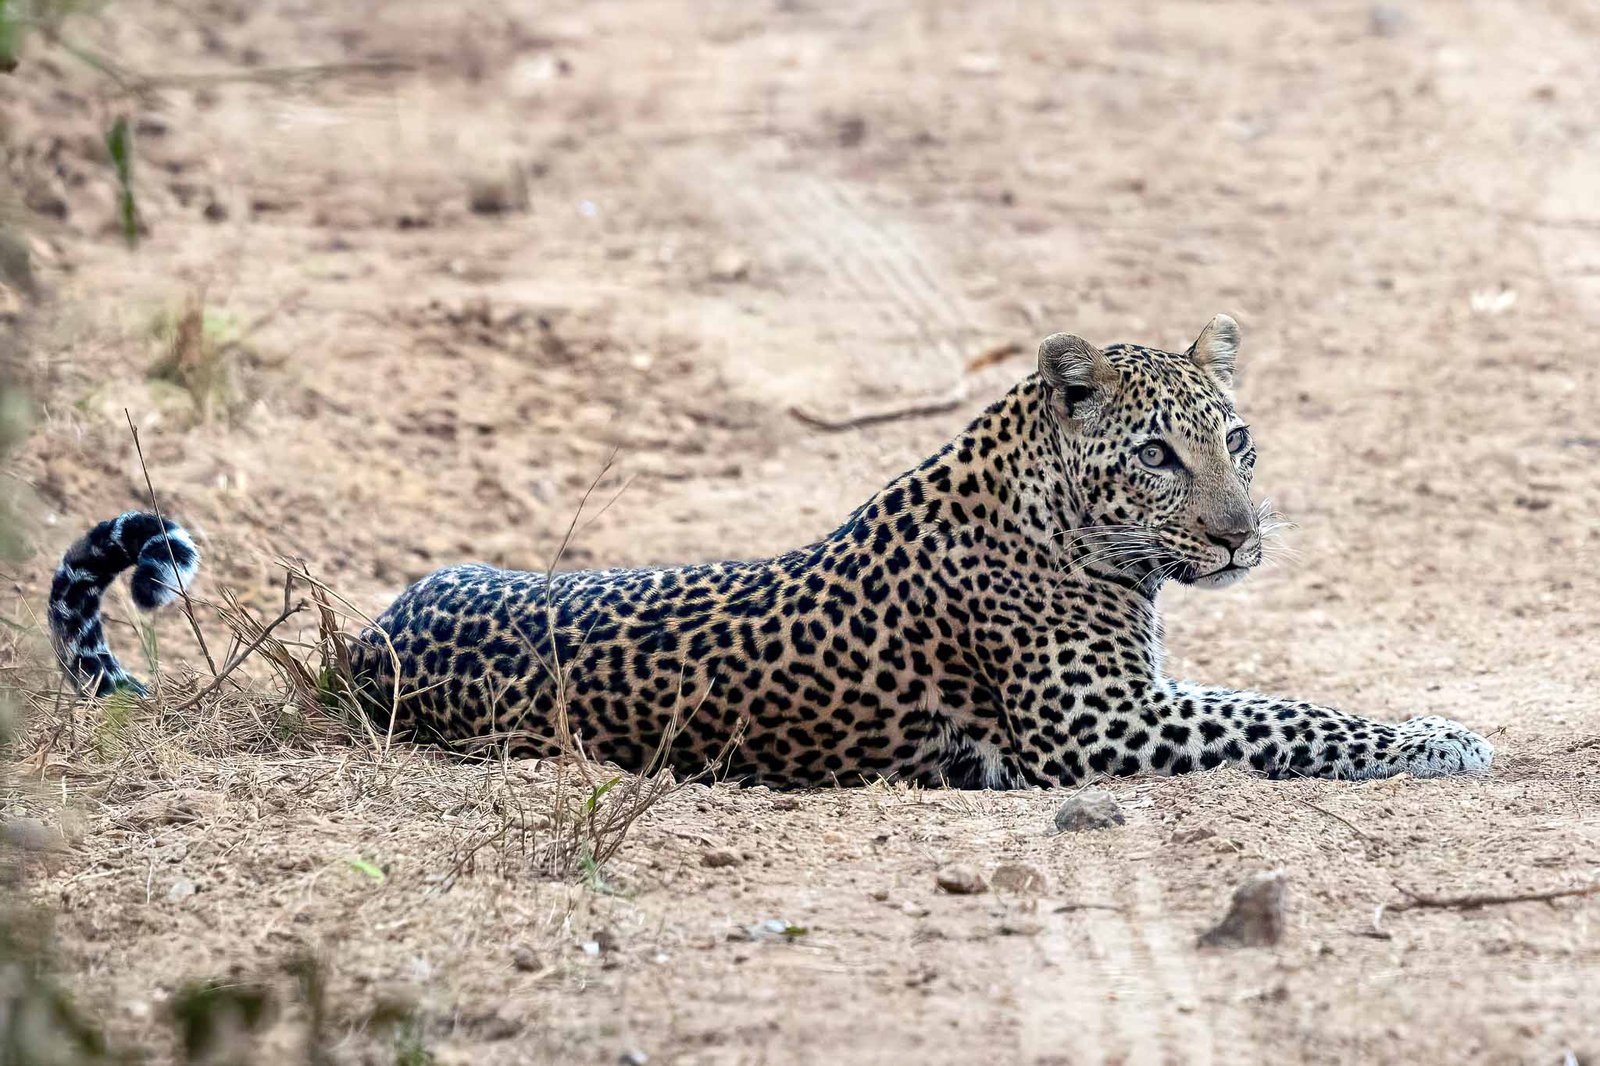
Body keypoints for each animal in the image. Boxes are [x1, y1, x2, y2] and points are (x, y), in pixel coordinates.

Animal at [49, 315, 1494, 788]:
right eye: (1159, 455)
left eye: (1236, 438)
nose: (1242, 536)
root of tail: (362, 645)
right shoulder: (1101, 728)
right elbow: (1298, 716)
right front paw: (1445, 735)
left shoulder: (1130, 707)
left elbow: (1290, 703)